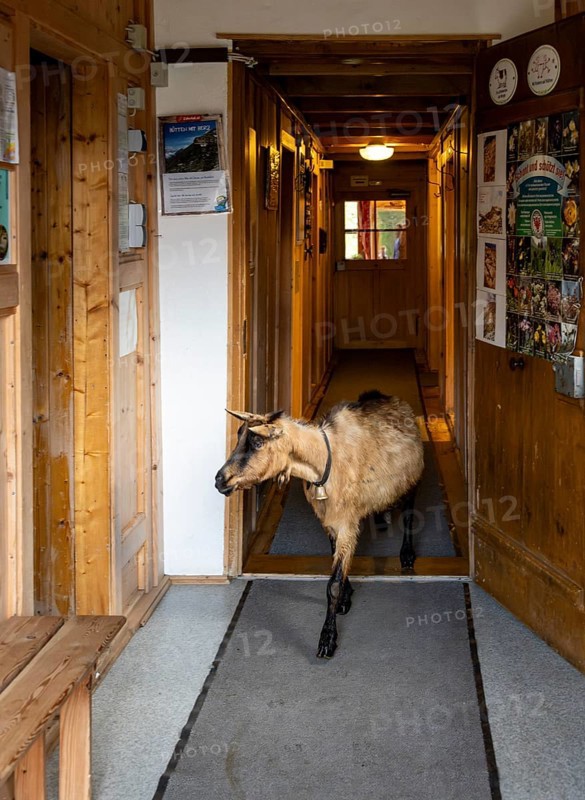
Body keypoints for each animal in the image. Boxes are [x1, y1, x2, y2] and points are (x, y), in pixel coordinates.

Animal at [215, 390, 424, 658]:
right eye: (239, 437)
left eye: (258, 443)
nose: (220, 480)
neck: (324, 460)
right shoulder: (331, 521)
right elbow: (337, 561)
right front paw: (346, 597)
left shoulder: (346, 523)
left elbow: (332, 584)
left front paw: (327, 639)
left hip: (412, 480)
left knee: (408, 514)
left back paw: (407, 555)